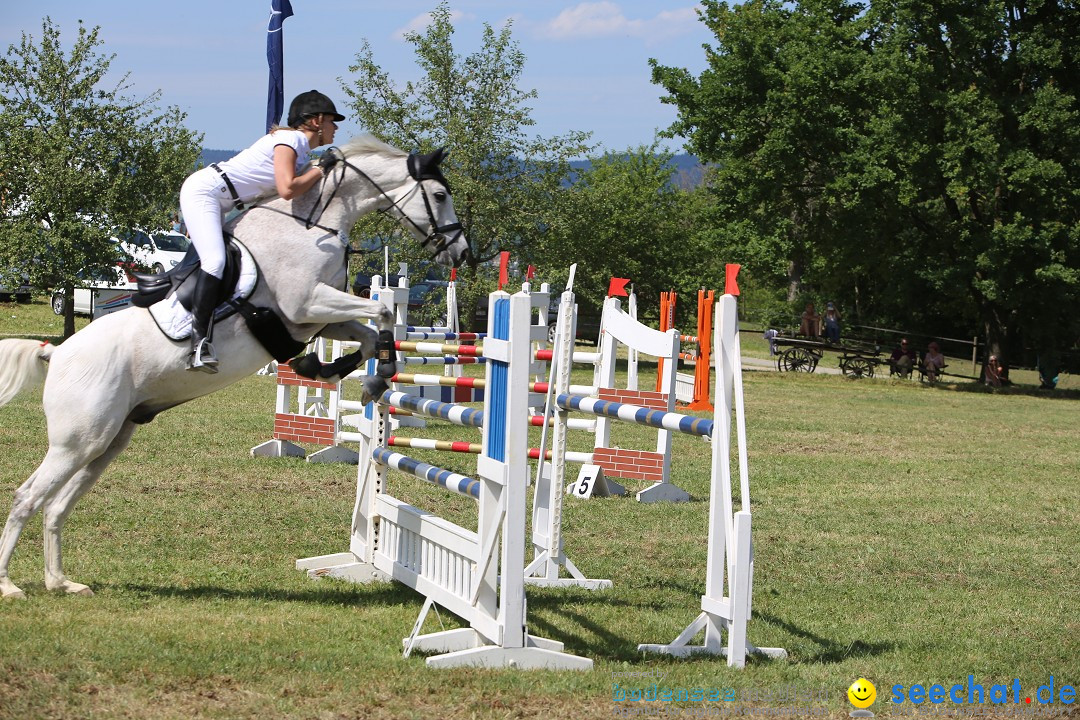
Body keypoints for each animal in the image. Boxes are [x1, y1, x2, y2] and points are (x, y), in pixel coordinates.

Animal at [0, 133, 468, 595]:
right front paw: (349, 374)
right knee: (28, 497)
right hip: (77, 441)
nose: (462, 253)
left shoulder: (315, 318)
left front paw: (339, 374)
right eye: (440, 195)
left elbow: (371, 336)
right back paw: (10, 586)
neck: (312, 224)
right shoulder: (306, 305)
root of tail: (57, 352)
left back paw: (61, 582)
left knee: (56, 506)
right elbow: (384, 313)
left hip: (106, 441)